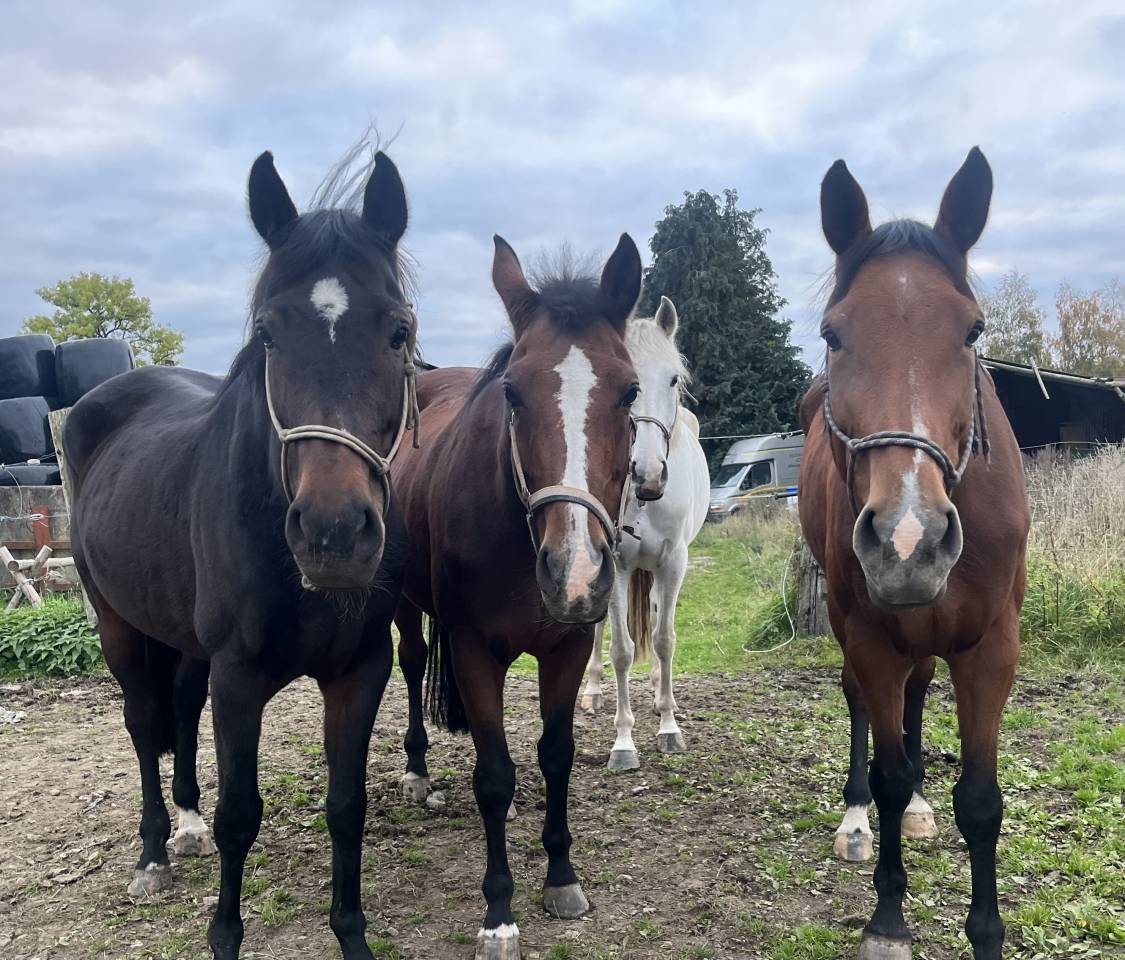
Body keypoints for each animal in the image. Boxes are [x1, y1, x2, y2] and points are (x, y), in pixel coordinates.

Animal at [64, 148, 420, 960]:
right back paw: (154, 854)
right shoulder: (238, 678)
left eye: (397, 331)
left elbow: (346, 806)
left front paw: (352, 936)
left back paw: (186, 825)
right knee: (143, 723)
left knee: (179, 708)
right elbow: (242, 817)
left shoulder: (360, 672)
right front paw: (224, 936)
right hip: (116, 624)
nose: (332, 534)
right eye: (268, 334)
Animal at [390, 234, 642, 959]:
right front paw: (498, 911)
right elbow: (495, 775)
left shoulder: (569, 645)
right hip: (401, 604)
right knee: (410, 664)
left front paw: (561, 876)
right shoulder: (475, 652)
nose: (574, 572)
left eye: (630, 391)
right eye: (513, 392)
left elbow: (555, 756)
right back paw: (416, 771)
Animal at [578, 296, 710, 769]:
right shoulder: (617, 564)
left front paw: (669, 726)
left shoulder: (673, 563)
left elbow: (664, 639)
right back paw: (592, 691)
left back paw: (656, 691)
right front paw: (623, 742)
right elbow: (621, 648)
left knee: (654, 615)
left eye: (674, 379)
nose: (648, 475)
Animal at [798, 147, 1029, 960]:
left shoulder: (990, 646)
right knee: (866, 712)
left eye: (972, 330)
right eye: (834, 334)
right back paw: (856, 819)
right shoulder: (869, 636)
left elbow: (981, 801)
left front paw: (985, 934)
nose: (908, 539)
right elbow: (889, 770)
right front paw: (888, 920)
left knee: (920, 693)